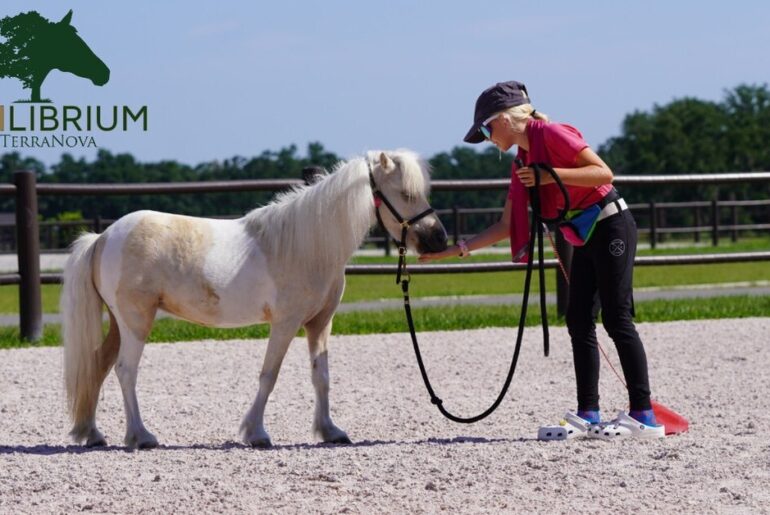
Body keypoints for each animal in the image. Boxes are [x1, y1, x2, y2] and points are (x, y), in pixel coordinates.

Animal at [61, 149, 448, 449]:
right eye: (405, 193)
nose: (439, 239)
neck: (308, 245)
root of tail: (103, 237)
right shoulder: (286, 323)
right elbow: (269, 375)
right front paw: (257, 433)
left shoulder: (320, 324)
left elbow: (321, 376)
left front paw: (330, 431)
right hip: (135, 322)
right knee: (126, 371)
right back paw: (141, 436)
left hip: (118, 323)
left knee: (98, 366)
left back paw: (93, 434)